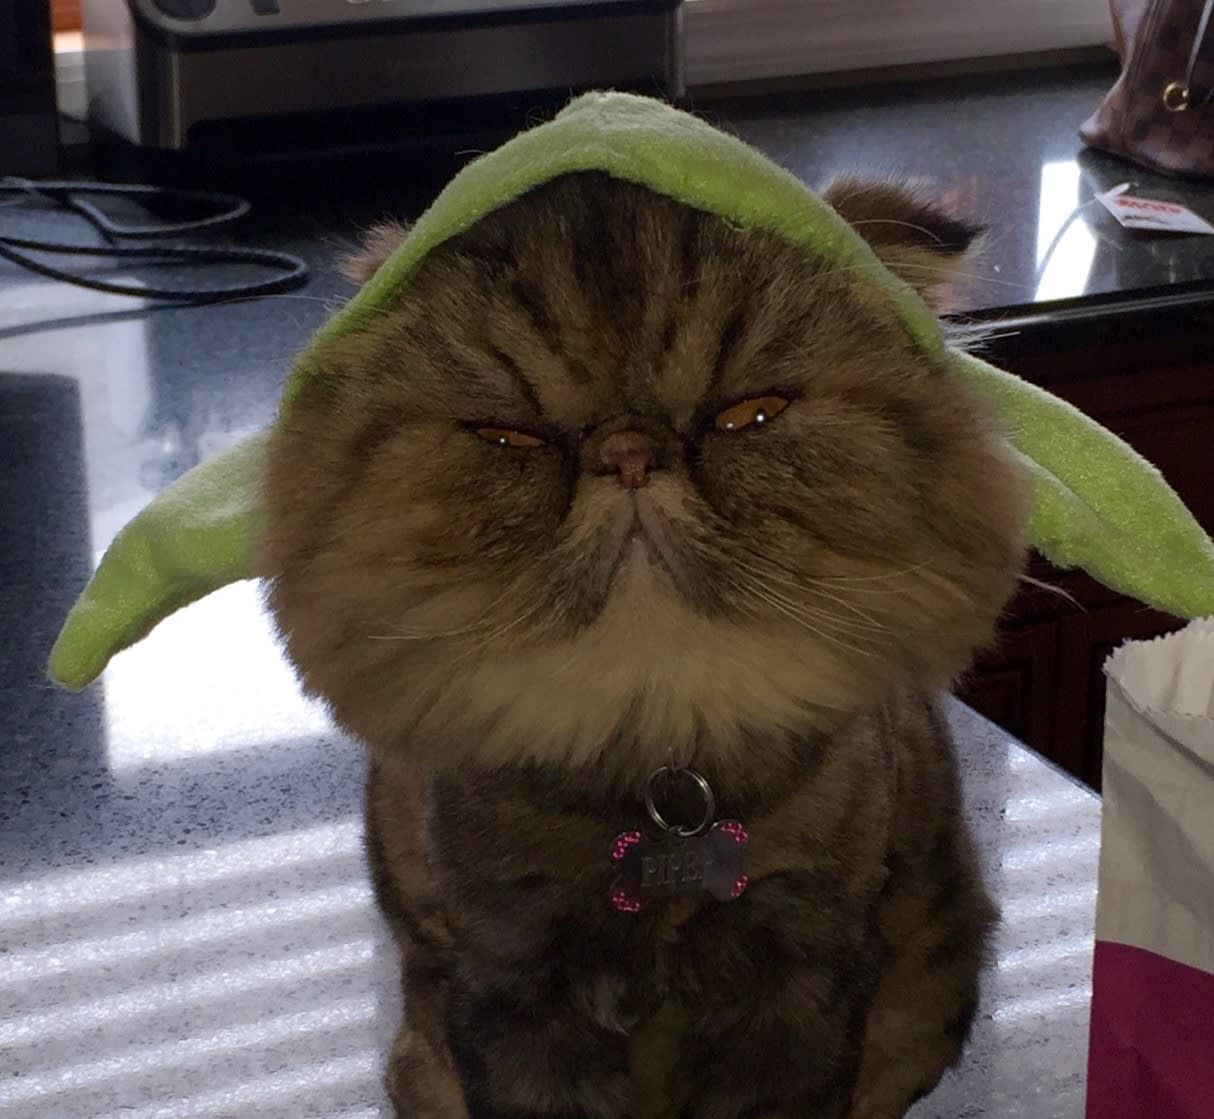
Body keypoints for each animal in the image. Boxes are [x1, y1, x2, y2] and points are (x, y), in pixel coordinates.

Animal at [260, 169, 1027, 1119]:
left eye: (750, 414)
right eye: (511, 436)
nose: (627, 456)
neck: (657, 770)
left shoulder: (803, 979)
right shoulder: (510, 981)